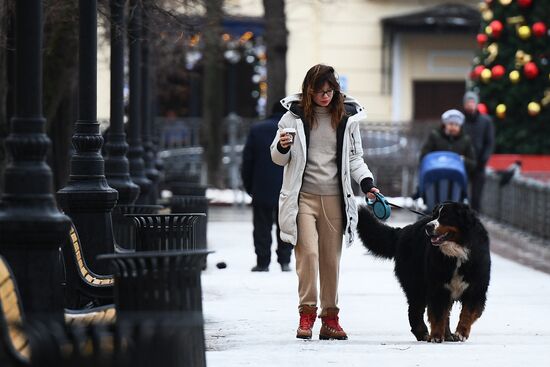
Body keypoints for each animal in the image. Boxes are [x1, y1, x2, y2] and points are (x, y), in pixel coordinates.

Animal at [360, 201, 494, 342]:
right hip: (416, 284)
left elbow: (467, 314)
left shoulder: (475, 288)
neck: (456, 253)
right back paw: (423, 333)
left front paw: (461, 333)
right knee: (415, 310)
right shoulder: (438, 287)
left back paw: (448, 335)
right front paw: (436, 336)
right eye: (434, 216)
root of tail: (403, 231)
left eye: (445, 216)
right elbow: (438, 315)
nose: (428, 226)